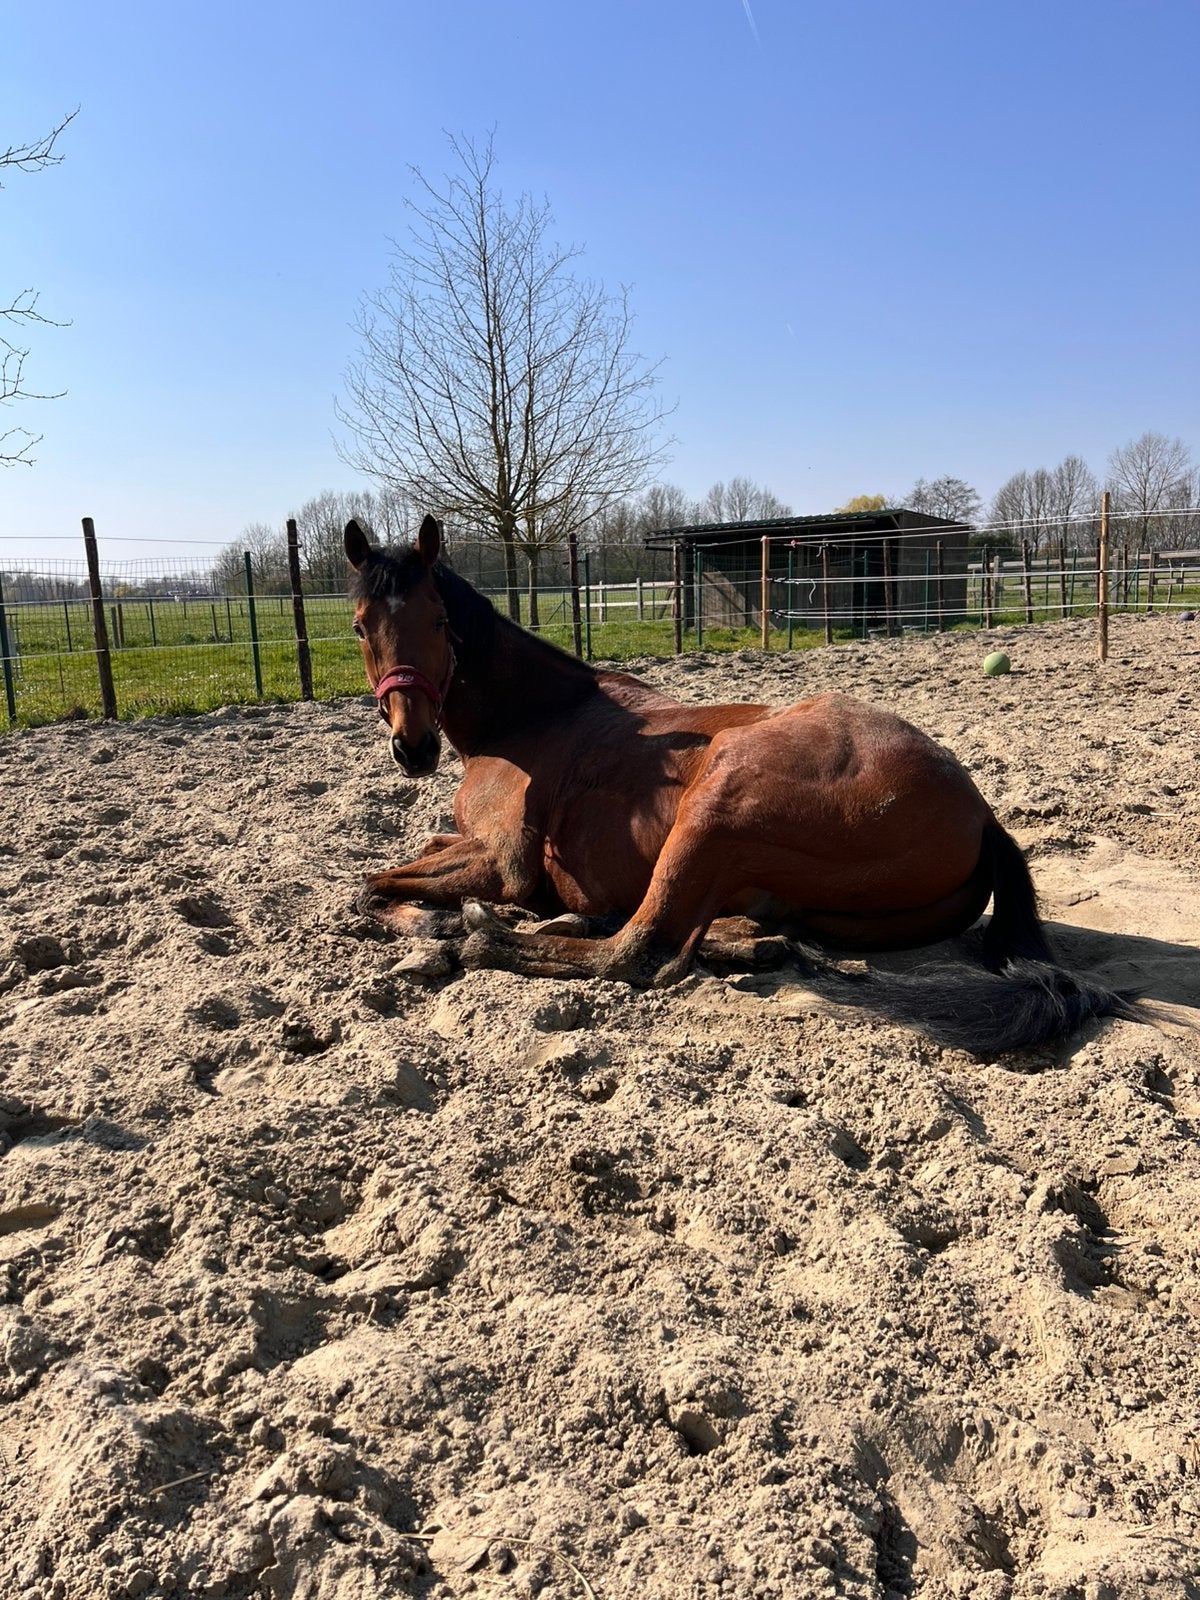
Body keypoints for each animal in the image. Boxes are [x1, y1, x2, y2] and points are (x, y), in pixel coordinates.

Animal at [344, 514, 1136, 1054]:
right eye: (359, 627)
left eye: (439, 621)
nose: (412, 746)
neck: (534, 715)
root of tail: (980, 813)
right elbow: (405, 859)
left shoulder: (506, 862)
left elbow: (371, 885)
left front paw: (441, 926)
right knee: (747, 936)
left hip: (714, 809)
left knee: (637, 952)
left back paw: (489, 938)